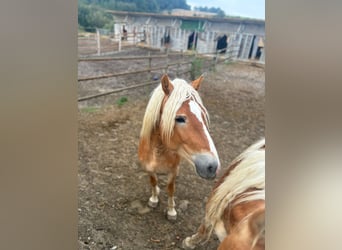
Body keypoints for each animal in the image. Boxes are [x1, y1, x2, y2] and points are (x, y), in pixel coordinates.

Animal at [138, 74, 220, 221]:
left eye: (203, 115)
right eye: (180, 119)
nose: (212, 166)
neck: (158, 151)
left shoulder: (172, 171)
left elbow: (171, 189)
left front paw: (171, 211)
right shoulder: (148, 168)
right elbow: (153, 181)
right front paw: (154, 199)